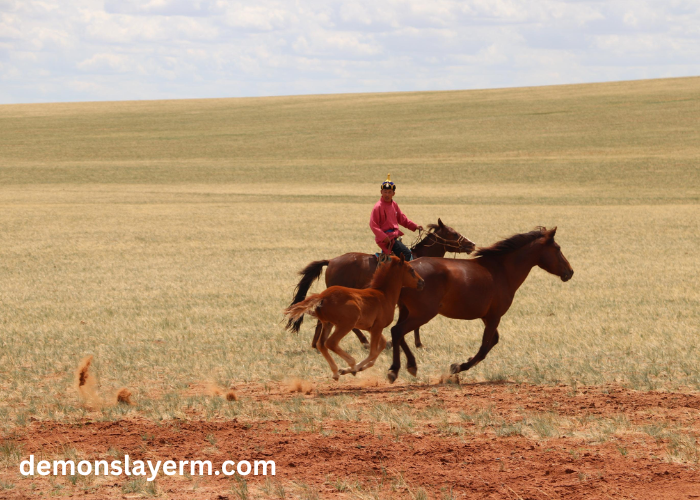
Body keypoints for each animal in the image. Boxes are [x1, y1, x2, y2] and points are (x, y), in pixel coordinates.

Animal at [284, 256, 424, 380]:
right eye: (411, 269)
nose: (422, 282)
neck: (383, 295)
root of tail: (322, 296)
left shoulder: (371, 328)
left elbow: (382, 345)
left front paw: (357, 368)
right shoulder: (377, 327)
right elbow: (373, 352)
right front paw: (353, 369)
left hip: (327, 323)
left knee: (321, 344)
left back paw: (335, 372)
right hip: (346, 324)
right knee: (331, 342)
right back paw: (350, 364)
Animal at [286, 217, 476, 350]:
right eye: (453, 233)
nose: (472, 244)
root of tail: (331, 261)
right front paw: (415, 343)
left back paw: (316, 344)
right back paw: (363, 342)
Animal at [388, 227, 576, 382]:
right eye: (558, 249)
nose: (570, 272)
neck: (502, 270)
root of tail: (406, 268)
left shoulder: (487, 316)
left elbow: (493, 340)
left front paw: (463, 363)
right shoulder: (494, 317)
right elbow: (485, 346)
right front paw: (458, 367)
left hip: (407, 311)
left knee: (398, 334)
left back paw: (411, 365)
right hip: (422, 313)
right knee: (397, 331)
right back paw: (395, 370)